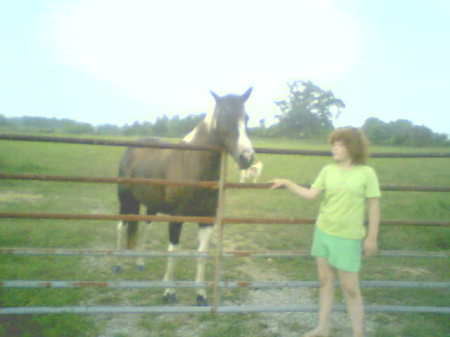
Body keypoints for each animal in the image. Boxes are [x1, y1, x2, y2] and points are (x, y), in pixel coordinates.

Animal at [116, 88, 255, 306]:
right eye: (224, 116)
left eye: (246, 117)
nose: (247, 157)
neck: (191, 163)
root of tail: (131, 148)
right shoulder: (176, 218)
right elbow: (174, 252)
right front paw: (169, 292)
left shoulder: (207, 220)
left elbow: (202, 255)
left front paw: (201, 295)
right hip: (125, 200)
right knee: (121, 226)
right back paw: (118, 265)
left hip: (150, 206)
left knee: (144, 228)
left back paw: (140, 263)